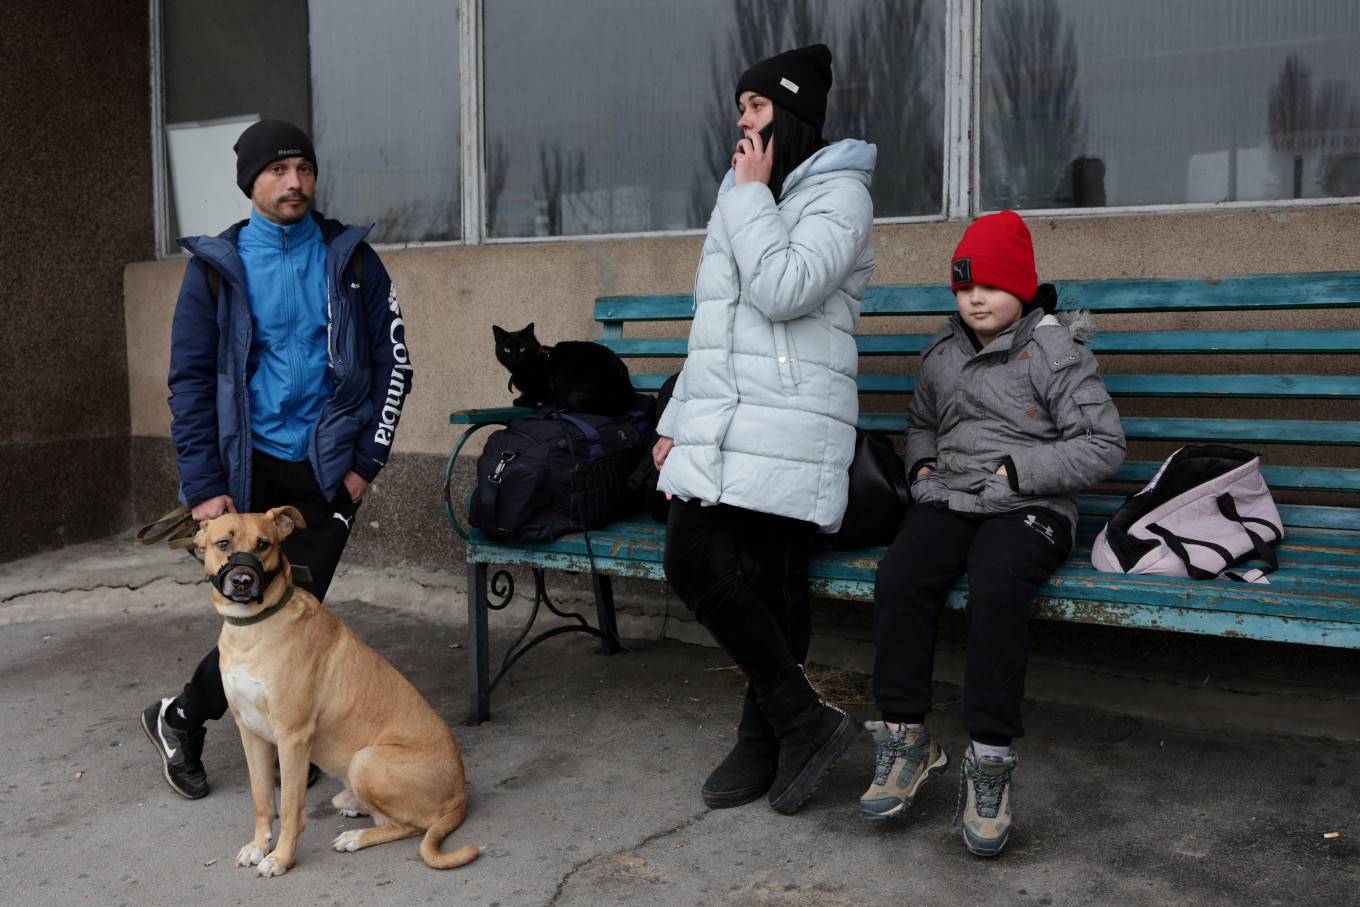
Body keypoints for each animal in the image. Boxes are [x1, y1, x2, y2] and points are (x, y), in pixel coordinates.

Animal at [198, 508, 478, 875]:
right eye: (223, 543)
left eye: (263, 545)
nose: (243, 580)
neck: (252, 627)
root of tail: (460, 794)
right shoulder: (250, 731)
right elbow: (262, 799)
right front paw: (259, 846)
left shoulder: (293, 736)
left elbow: (290, 809)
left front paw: (281, 858)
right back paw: (354, 808)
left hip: (366, 760)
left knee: (412, 826)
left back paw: (356, 837)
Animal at [492, 322, 633, 416]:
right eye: (506, 349)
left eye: (522, 349)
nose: (514, 357)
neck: (522, 370)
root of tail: (625, 382)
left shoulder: (541, 383)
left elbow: (530, 392)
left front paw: (520, 401)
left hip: (568, 369)